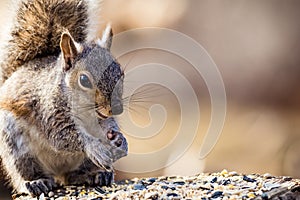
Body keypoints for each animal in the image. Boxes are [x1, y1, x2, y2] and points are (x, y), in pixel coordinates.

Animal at [0, 0, 127, 197]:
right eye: (84, 80)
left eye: (121, 74)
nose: (116, 109)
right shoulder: (47, 111)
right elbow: (63, 136)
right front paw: (94, 147)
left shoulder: (101, 119)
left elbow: (107, 126)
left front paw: (119, 138)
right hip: (15, 145)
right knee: (24, 172)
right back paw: (36, 182)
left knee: (73, 176)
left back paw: (95, 174)